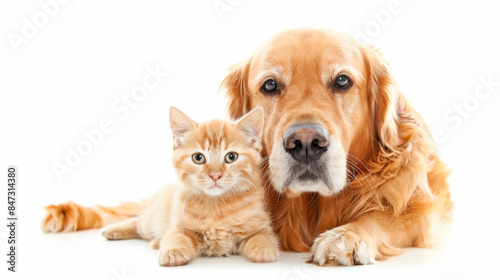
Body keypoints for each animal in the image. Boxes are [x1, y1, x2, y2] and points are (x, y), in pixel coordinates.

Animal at [99, 106, 280, 266]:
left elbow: (262, 237)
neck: (216, 207)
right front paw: (173, 252)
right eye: (198, 158)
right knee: (140, 220)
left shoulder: (260, 226)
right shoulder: (178, 225)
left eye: (231, 157)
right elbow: (175, 237)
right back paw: (113, 230)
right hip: (153, 219)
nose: (215, 175)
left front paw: (264, 251)